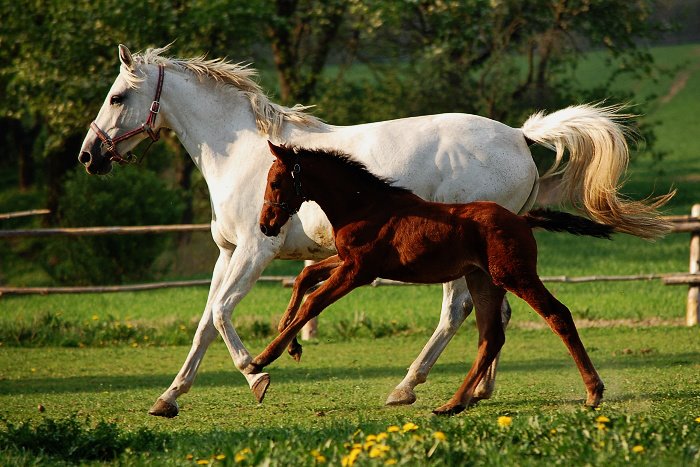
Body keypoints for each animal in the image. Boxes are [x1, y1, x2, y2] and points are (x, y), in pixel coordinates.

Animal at [250, 141, 612, 414]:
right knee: (491, 336)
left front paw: (262, 359)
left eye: (276, 182)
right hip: (484, 281)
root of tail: (523, 220)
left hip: (514, 275)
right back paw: (455, 403)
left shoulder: (359, 269)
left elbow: (313, 301)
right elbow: (305, 276)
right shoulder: (347, 260)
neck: (364, 206)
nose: (266, 225)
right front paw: (289, 338)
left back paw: (593, 391)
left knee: (556, 315)